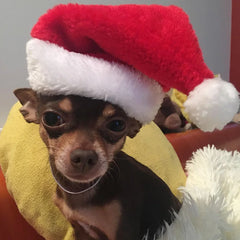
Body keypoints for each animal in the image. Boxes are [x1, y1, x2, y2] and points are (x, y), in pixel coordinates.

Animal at [14, 88, 180, 240]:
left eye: (117, 125)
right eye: (51, 118)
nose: (84, 156)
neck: (80, 189)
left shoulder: (123, 233)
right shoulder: (79, 229)